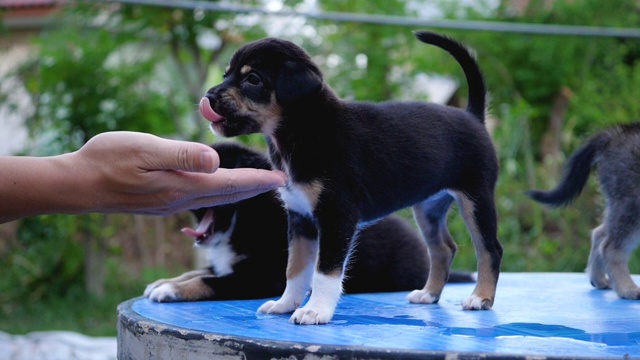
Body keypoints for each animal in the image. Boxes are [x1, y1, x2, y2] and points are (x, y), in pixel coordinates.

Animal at [145, 142, 476, 302]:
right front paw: (163, 282)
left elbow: (208, 281)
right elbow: (197, 271)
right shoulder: (228, 264)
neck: (246, 218)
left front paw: (170, 291)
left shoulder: (262, 277)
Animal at [199, 30, 500, 324]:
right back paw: (428, 294)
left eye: (253, 79)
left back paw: (480, 298)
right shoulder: (299, 218)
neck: (306, 130)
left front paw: (315, 310)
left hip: (476, 200)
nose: (209, 97)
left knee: (490, 249)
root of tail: (473, 117)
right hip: (428, 209)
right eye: (226, 74)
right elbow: (295, 270)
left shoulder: (336, 216)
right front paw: (285, 304)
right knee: (444, 249)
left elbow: (325, 271)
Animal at [528, 122, 640, 300]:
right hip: (632, 204)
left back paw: (598, 279)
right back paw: (626, 289)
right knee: (610, 247)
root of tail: (615, 134)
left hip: (620, 205)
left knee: (600, 234)